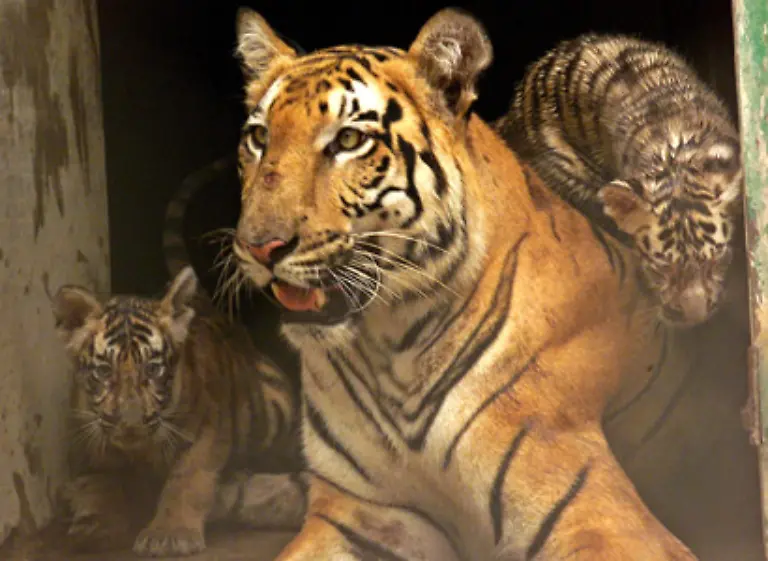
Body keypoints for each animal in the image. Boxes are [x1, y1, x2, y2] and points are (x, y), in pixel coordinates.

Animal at [52, 263, 306, 557]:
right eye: (104, 371)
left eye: (153, 369)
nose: (130, 424)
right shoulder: (91, 439)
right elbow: (100, 483)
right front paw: (93, 525)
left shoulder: (206, 430)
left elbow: (187, 479)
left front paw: (169, 535)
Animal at [228, 7, 698, 559]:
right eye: (259, 138)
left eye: (348, 140)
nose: (260, 246)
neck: (388, 351)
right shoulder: (360, 514)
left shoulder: (601, 517)